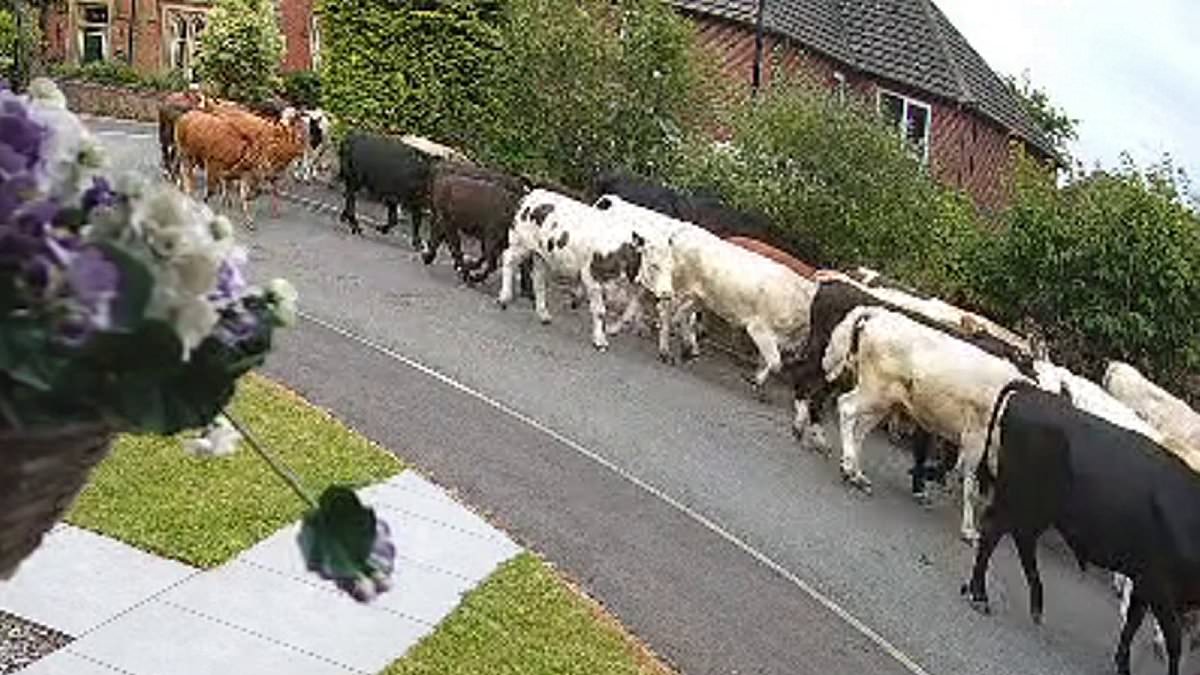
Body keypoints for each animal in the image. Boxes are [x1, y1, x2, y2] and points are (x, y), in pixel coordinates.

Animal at [496, 187, 648, 348]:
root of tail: (532, 193)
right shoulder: (591, 276)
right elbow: (600, 311)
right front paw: (600, 341)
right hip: (520, 241)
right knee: (508, 258)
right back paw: (504, 298)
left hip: (541, 254)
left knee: (538, 278)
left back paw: (544, 314)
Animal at [825, 305, 1060, 540]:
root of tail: (880, 313)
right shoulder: (976, 437)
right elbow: (970, 484)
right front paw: (968, 529)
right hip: (874, 390)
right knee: (846, 407)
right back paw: (849, 466)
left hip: (885, 401)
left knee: (859, 431)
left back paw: (856, 474)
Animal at [964, 381, 1200, 672]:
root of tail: (1033, 391)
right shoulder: (1161, 588)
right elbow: (1173, 643)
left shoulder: (1145, 581)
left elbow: (1132, 623)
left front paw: (1122, 664)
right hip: (1017, 496)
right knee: (992, 532)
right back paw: (980, 595)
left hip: (1037, 509)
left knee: (1022, 539)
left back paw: (1037, 605)